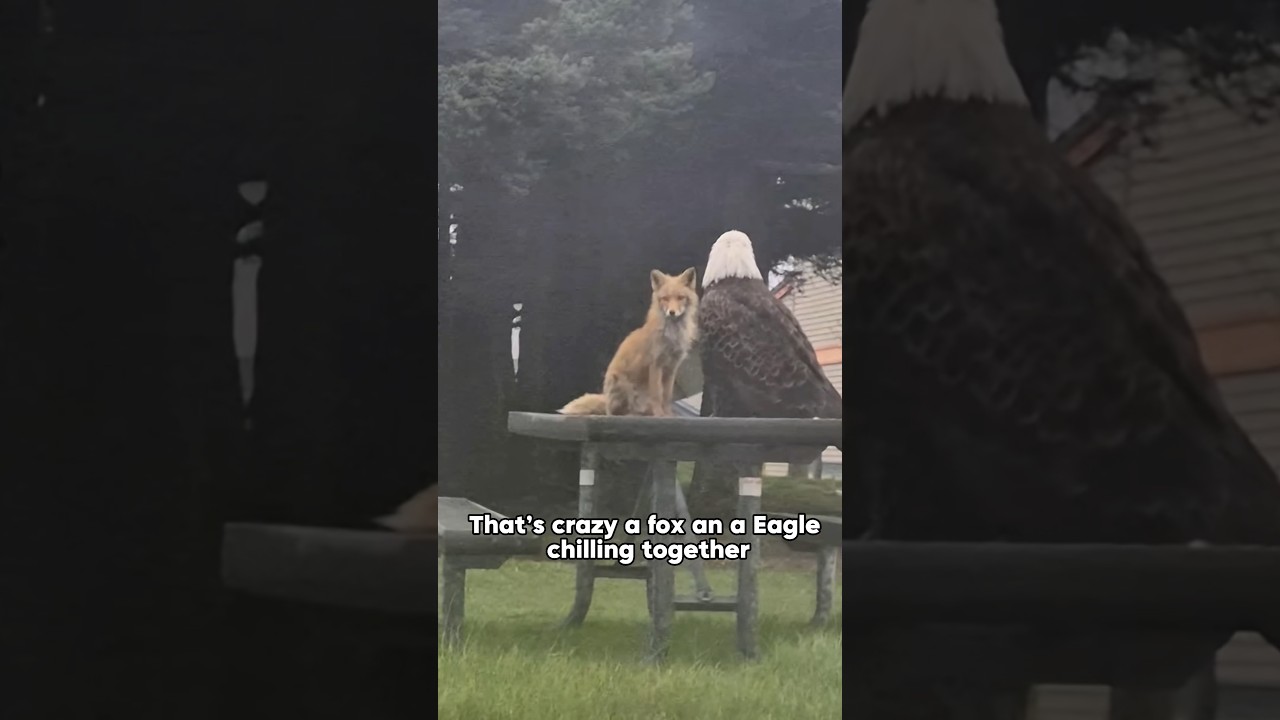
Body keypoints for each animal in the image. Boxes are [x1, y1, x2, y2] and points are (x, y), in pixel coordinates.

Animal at [560, 267, 699, 417]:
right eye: (665, 299)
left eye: (680, 297)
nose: (671, 312)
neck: (672, 336)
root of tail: (606, 398)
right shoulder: (655, 364)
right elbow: (657, 394)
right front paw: (659, 414)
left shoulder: (672, 368)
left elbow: (666, 396)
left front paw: (668, 415)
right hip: (621, 385)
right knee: (614, 412)